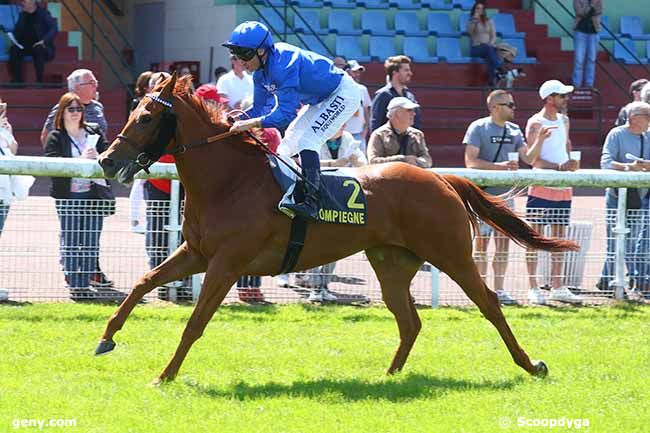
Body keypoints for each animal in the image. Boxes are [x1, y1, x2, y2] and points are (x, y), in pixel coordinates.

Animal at [97, 72, 576, 384]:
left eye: (145, 118)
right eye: (134, 111)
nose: (106, 160)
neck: (229, 181)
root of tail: (441, 178)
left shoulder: (227, 263)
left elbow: (195, 322)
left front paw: (165, 374)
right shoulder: (196, 253)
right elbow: (142, 283)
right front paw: (106, 339)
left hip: (451, 253)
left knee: (489, 304)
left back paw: (531, 365)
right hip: (391, 262)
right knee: (409, 320)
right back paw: (388, 376)